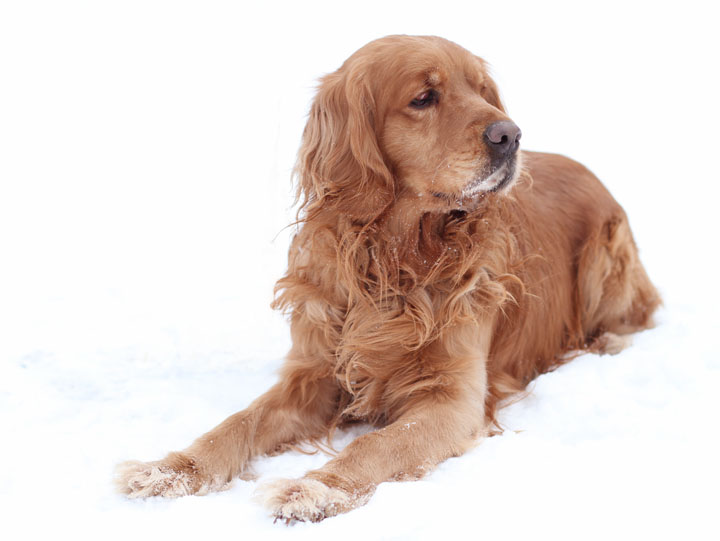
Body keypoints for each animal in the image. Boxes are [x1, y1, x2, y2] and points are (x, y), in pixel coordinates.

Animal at [115, 35, 660, 520]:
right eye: (424, 97)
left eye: (483, 90)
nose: (511, 135)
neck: (394, 261)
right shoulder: (313, 373)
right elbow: (235, 423)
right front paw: (170, 470)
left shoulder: (451, 400)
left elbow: (375, 445)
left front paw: (315, 489)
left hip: (606, 258)